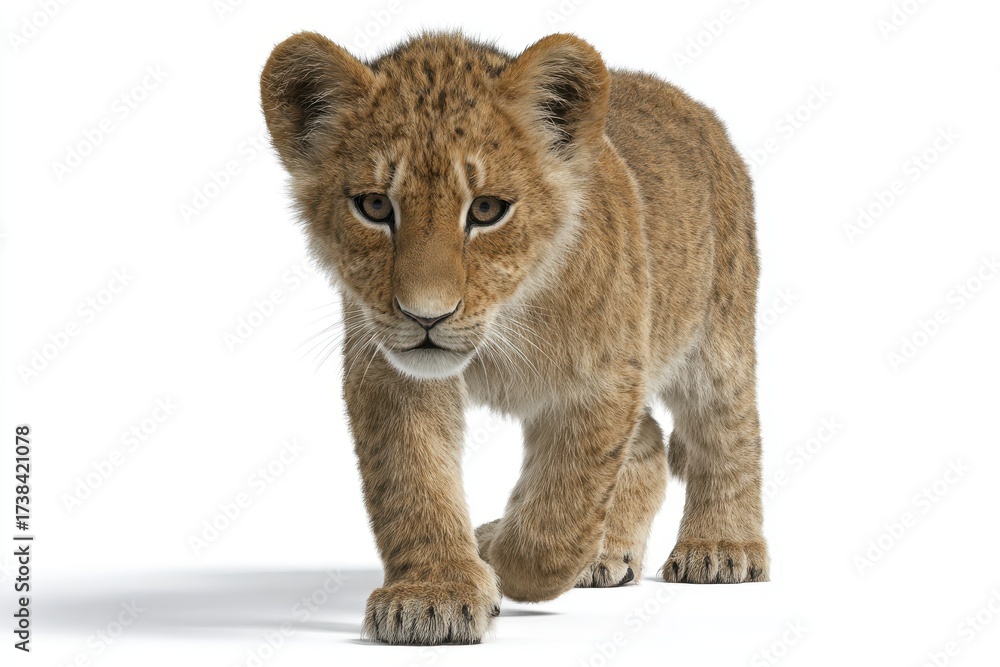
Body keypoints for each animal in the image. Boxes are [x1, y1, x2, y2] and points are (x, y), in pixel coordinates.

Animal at [261, 30, 768, 645]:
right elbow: (412, 482)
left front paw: (503, 560)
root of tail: (692, 105)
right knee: (647, 440)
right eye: (375, 205)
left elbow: (562, 505)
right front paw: (433, 594)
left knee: (727, 431)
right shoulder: (388, 370)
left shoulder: (602, 378)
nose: (425, 317)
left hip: (717, 334)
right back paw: (609, 555)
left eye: (486, 210)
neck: (506, 322)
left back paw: (719, 547)